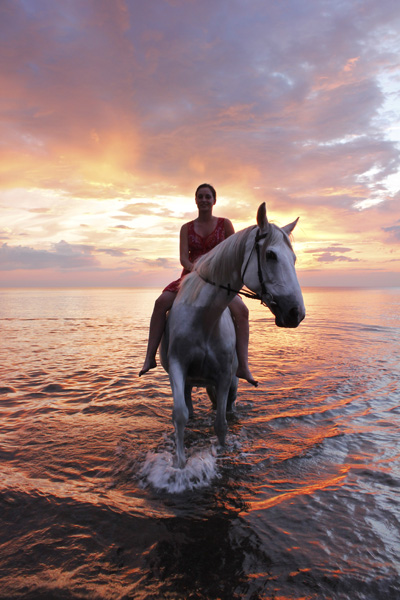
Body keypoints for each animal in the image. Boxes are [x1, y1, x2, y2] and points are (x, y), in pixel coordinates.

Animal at [159, 204, 304, 466]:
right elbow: (180, 415)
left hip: (232, 382)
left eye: (294, 259)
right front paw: (180, 464)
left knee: (228, 407)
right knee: (190, 406)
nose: (296, 313)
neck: (204, 319)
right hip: (189, 382)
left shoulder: (225, 375)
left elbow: (221, 424)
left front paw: (223, 452)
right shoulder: (177, 366)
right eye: (270, 255)